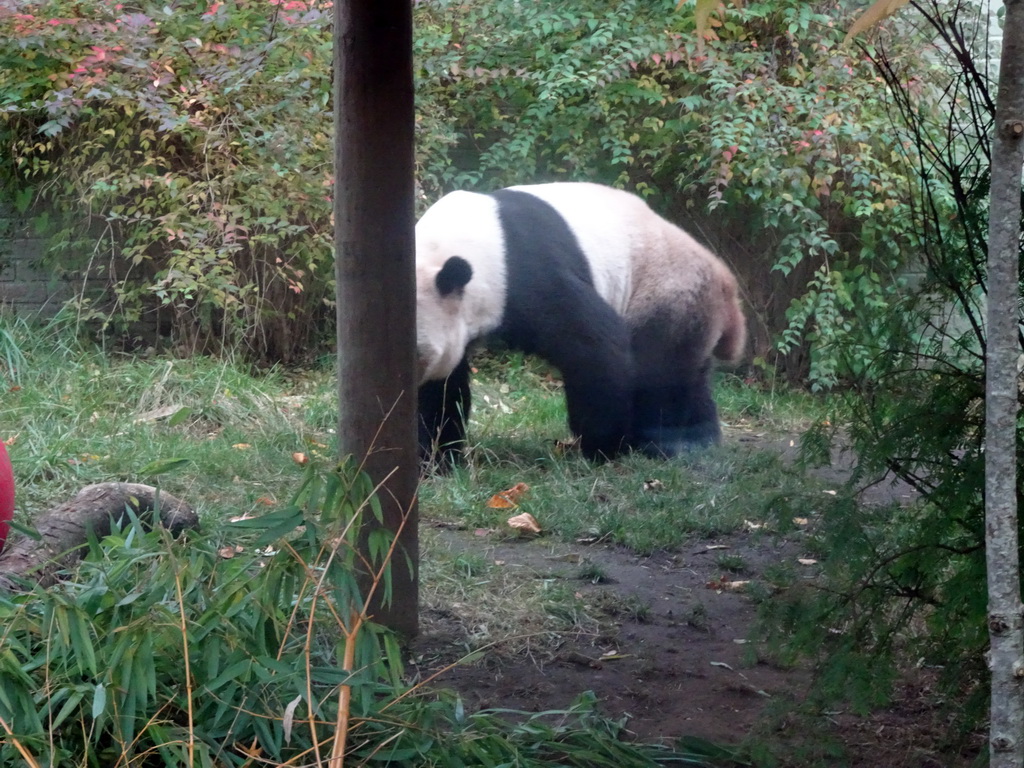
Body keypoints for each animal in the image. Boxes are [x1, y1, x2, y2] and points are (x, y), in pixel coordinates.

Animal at [415, 183, 745, 466]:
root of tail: (724, 280)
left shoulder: (526, 273)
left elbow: (594, 345)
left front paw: (604, 446)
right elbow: (443, 388)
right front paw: (435, 457)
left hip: (666, 289)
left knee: (661, 370)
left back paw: (667, 443)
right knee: (691, 372)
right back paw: (699, 439)